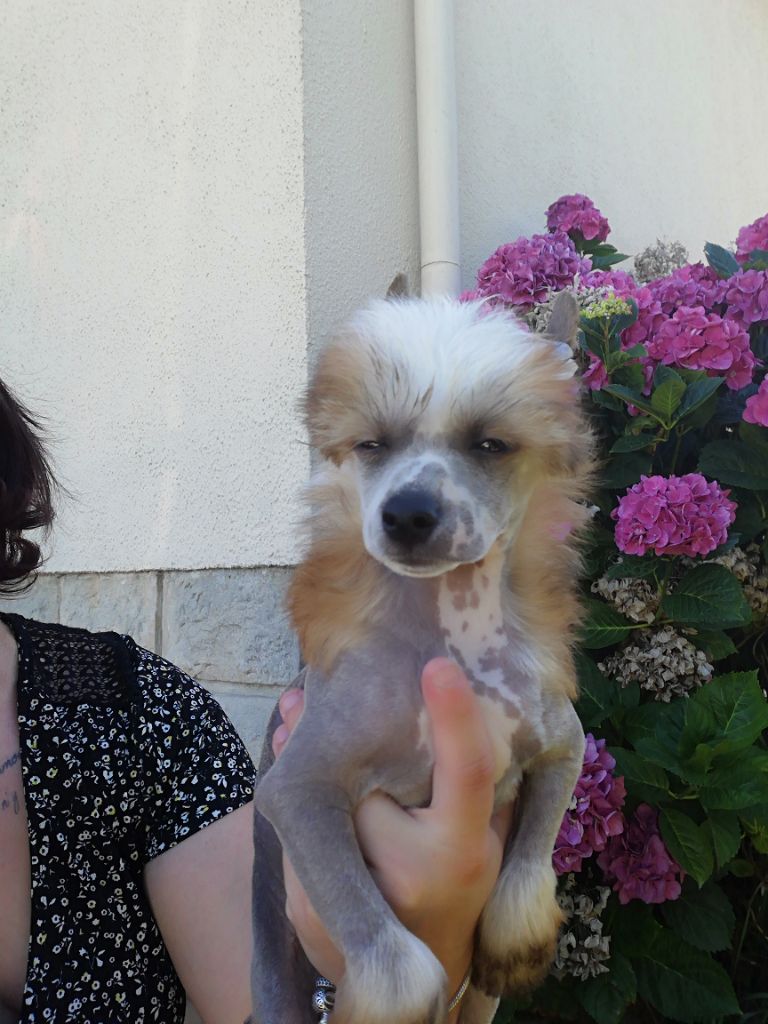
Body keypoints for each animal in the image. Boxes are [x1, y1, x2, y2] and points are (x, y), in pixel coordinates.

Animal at [251, 289, 594, 1024]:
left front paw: (515, 936)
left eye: (491, 444)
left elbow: (532, 860)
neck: (450, 639)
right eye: (372, 444)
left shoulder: (564, 746)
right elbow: (391, 955)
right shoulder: (297, 788)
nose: (407, 514)